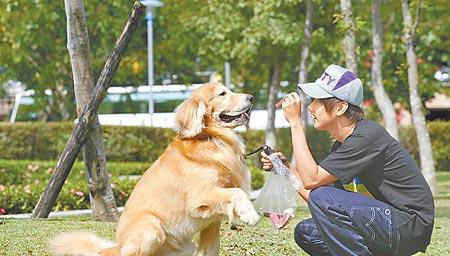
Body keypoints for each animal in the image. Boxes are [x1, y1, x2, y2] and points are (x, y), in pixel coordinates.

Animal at [49, 83, 260, 255]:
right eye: (222, 93)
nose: (251, 97)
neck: (212, 138)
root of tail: (115, 247)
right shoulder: (199, 197)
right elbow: (237, 192)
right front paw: (250, 214)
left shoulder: (212, 222)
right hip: (151, 227)